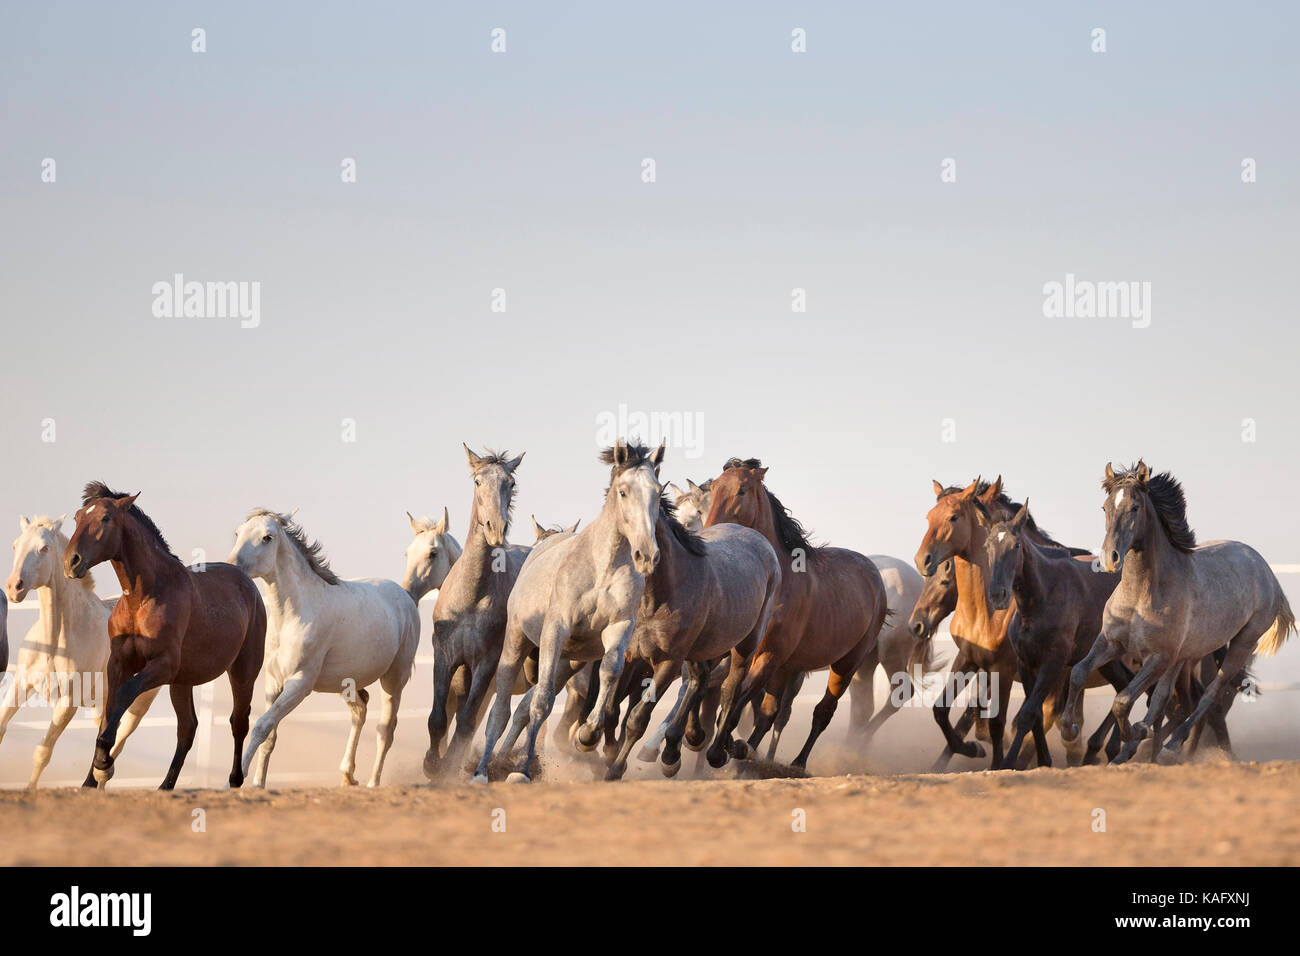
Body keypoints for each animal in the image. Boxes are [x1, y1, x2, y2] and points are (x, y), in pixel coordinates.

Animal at [64, 481, 266, 790]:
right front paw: (92, 778)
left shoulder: (163, 664)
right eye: (76, 517)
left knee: (239, 721)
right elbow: (109, 710)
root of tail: (247, 585)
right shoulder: (119, 663)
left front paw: (104, 764)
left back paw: (234, 781)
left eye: (105, 518)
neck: (144, 597)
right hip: (183, 682)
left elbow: (125, 694)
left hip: (243, 671)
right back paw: (165, 786)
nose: (71, 561)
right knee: (188, 728)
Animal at [228, 512, 418, 790]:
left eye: (267, 537)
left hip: (394, 679)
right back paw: (347, 775)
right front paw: (257, 784)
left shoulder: (300, 684)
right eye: (237, 533)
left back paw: (373, 783)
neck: (294, 615)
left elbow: (262, 726)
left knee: (385, 730)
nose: (231, 566)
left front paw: (235, 780)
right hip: (346, 683)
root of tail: (406, 597)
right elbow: (270, 735)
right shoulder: (273, 682)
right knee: (360, 711)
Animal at [702, 455, 894, 770]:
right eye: (714, 487)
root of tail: (875, 576)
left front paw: (720, 750)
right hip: (789, 668)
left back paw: (797, 762)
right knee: (771, 713)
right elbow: (736, 697)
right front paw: (728, 745)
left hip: (846, 664)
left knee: (823, 711)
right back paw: (748, 753)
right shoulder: (749, 654)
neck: (780, 581)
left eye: (742, 490)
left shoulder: (769, 657)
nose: (710, 531)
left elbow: (739, 698)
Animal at [1060, 460, 1294, 764]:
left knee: (1209, 694)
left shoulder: (1158, 656)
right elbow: (1078, 672)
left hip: (1241, 643)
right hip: (1185, 656)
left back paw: (1169, 745)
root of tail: (1266, 571)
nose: (1110, 559)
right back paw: (1134, 748)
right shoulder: (1111, 642)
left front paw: (1133, 732)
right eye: (1105, 507)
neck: (1141, 595)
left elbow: (1123, 700)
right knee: (1167, 699)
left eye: (1135, 507)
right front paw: (1070, 732)